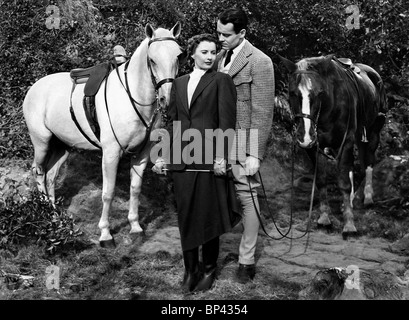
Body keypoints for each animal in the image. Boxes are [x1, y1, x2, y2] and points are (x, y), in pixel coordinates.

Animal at [22, 22, 182, 248]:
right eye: (152, 60)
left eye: (178, 56)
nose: (166, 99)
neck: (132, 97)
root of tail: (34, 87)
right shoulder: (111, 153)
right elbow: (108, 193)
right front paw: (105, 234)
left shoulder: (141, 154)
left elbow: (135, 188)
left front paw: (135, 227)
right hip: (42, 142)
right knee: (38, 172)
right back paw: (47, 215)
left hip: (62, 147)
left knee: (50, 176)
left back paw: (55, 216)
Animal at [278, 54, 388, 238]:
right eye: (292, 93)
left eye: (319, 93)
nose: (304, 136)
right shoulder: (314, 147)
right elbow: (321, 180)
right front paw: (324, 218)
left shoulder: (346, 141)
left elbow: (343, 183)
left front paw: (349, 225)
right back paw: (349, 202)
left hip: (373, 132)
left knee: (368, 161)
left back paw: (368, 197)